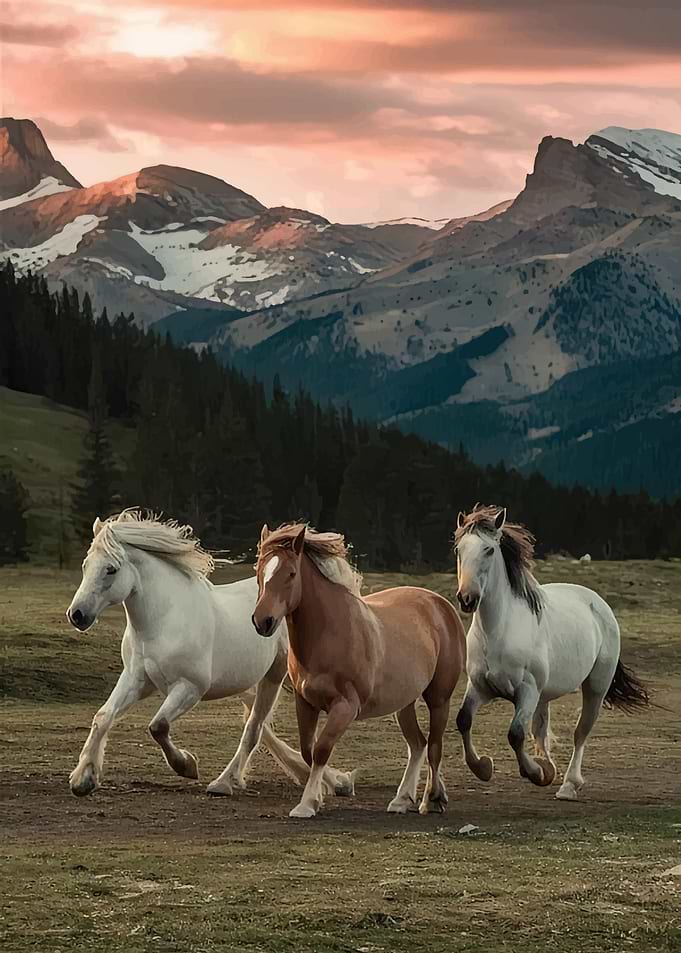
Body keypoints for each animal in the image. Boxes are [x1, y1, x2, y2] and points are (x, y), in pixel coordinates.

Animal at [66, 510, 354, 799]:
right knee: (260, 726)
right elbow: (103, 717)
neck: (162, 621)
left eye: (111, 569)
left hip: (276, 675)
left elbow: (158, 726)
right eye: (85, 565)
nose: (77, 615)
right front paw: (83, 779)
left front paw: (186, 765)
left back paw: (224, 783)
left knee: (255, 728)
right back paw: (334, 781)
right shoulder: (137, 680)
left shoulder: (190, 688)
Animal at [251, 523, 467, 818]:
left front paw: (307, 804)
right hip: (404, 702)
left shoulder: (346, 706)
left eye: (291, 573)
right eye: (259, 571)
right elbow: (308, 751)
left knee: (435, 746)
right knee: (418, 744)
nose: (263, 621)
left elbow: (321, 749)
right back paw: (401, 800)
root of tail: (440, 604)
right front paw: (320, 795)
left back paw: (432, 800)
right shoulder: (304, 702)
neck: (328, 633)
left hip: (439, 698)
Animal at [453, 505, 649, 800]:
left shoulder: (527, 691)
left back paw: (568, 785)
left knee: (581, 732)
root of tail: (597, 602)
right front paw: (484, 768)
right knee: (541, 727)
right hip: (544, 694)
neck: (499, 631)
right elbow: (464, 720)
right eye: (459, 549)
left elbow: (515, 734)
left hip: (595, 687)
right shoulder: (479, 687)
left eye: (488, 550)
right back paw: (548, 765)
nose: (467, 598)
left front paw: (535, 773)